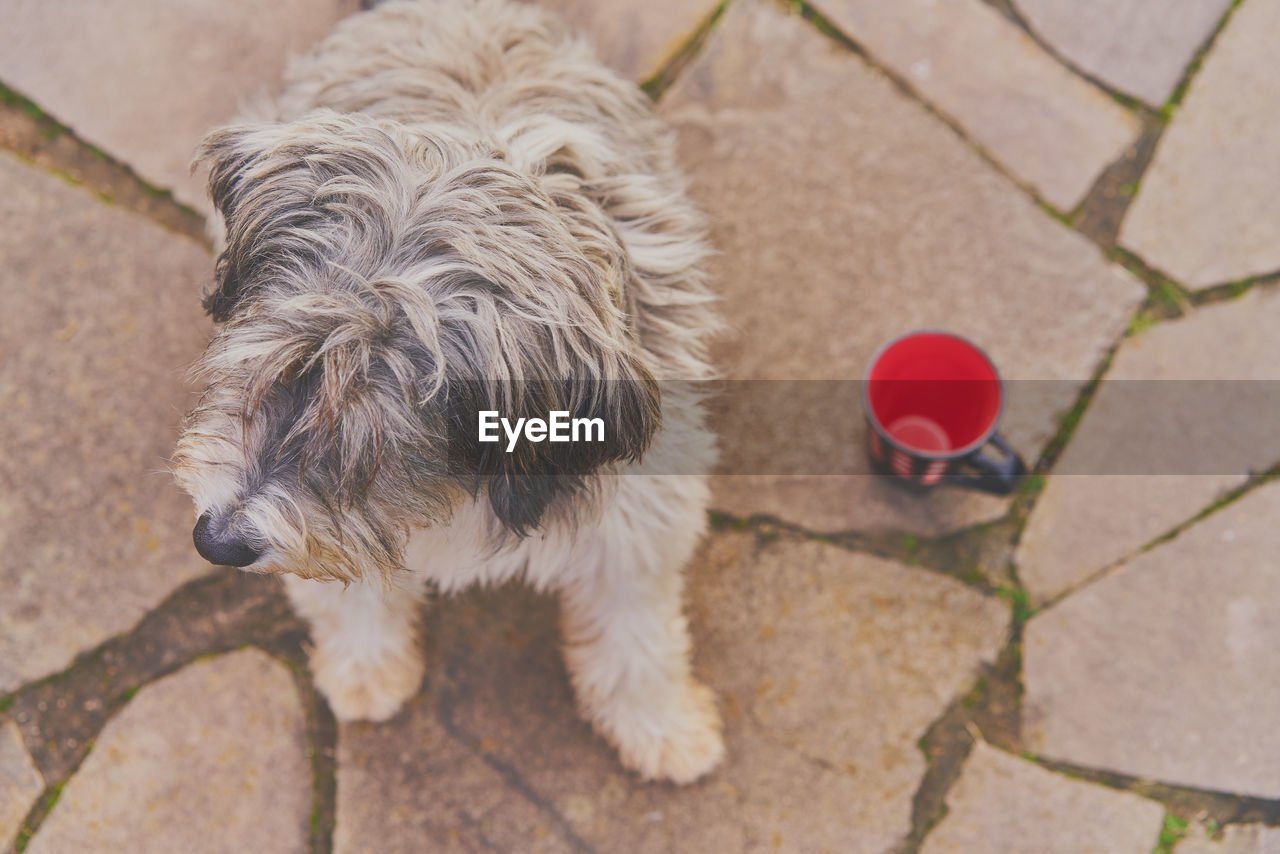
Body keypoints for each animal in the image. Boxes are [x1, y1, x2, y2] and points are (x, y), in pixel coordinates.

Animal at [171, 0, 727, 783]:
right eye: (261, 371)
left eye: (370, 433)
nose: (215, 542)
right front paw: (366, 669)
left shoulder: (641, 514)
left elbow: (637, 635)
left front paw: (662, 727)